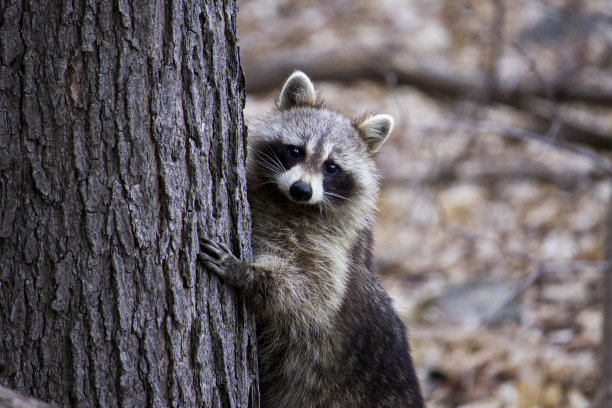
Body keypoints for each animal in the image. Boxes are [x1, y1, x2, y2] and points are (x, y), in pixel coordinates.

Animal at [198, 71, 424, 406]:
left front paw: (248, 273)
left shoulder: (333, 251)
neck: (288, 204)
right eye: (296, 151)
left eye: (331, 167)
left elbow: (310, 296)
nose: (302, 190)